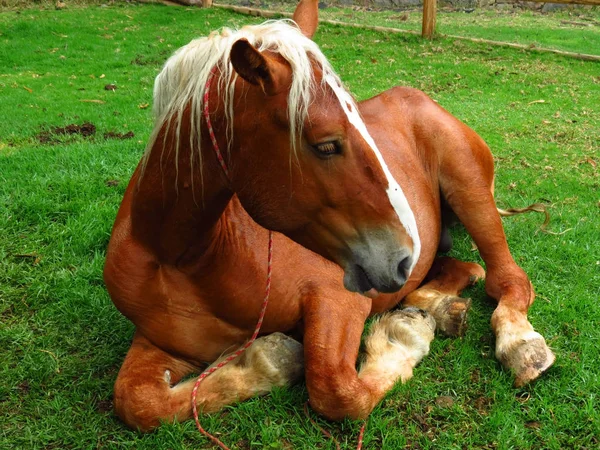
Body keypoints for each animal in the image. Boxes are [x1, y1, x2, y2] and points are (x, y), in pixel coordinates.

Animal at [105, 0, 556, 430]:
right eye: (325, 145)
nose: (403, 255)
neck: (182, 256)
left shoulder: (338, 298)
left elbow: (336, 390)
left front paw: (402, 337)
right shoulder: (162, 343)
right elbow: (137, 402)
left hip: (469, 191)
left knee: (506, 278)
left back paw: (519, 345)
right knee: (459, 269)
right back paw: (440, 308)